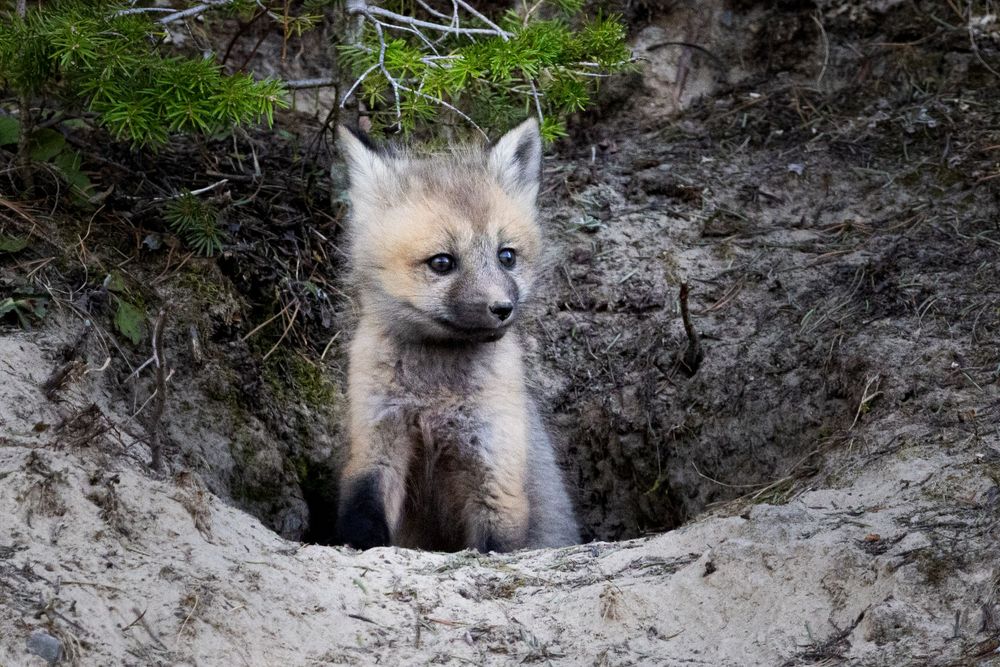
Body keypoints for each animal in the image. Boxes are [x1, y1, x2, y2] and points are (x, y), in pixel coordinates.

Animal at [335, 118, 580, 552]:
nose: (502, 308)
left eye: (506, 256)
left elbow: (496, 545)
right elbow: (364, 520)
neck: (435, 400)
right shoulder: (376, 441)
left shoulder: (494, 465)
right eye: (442, 262)